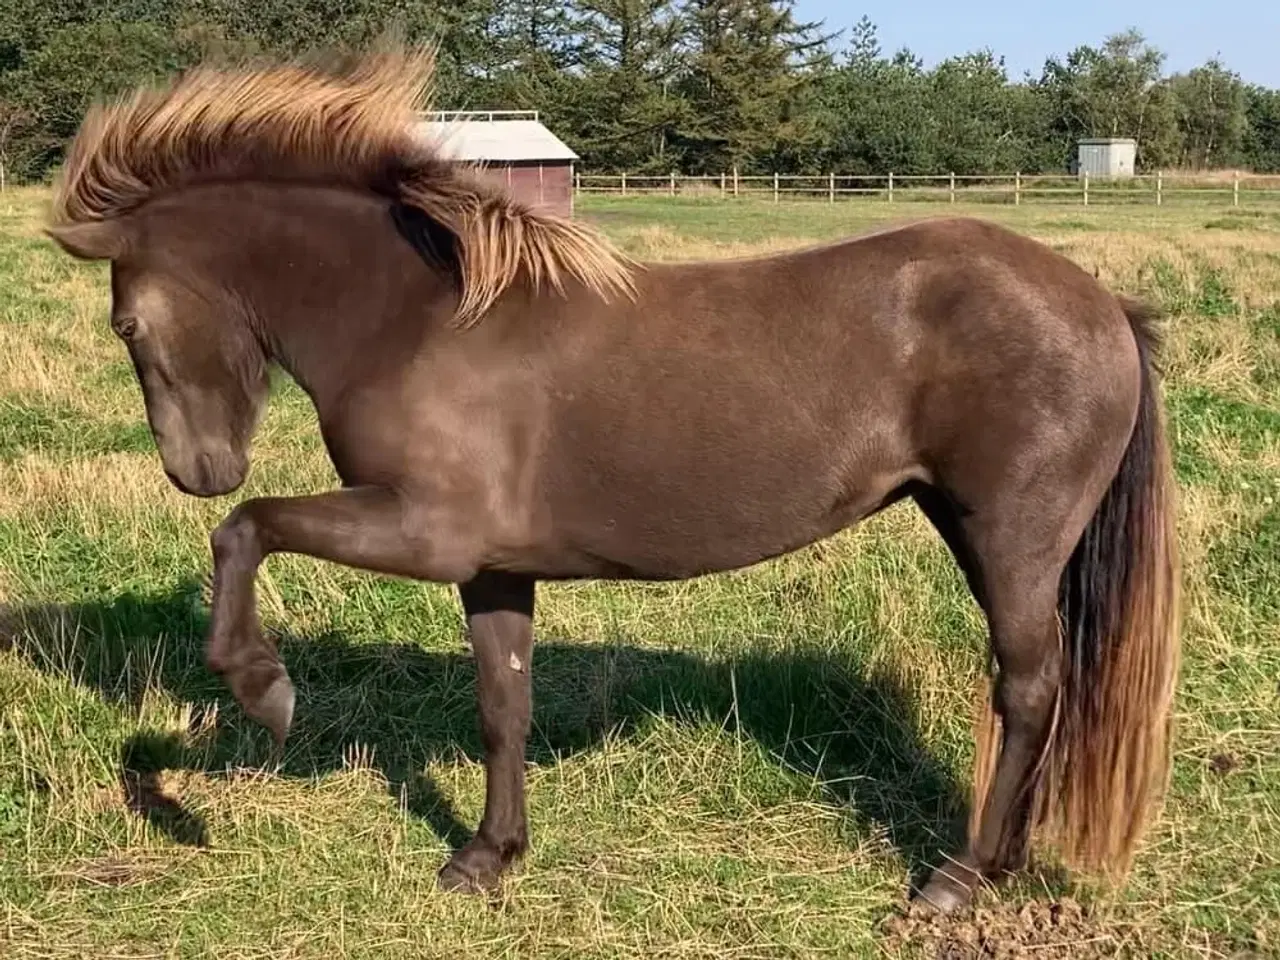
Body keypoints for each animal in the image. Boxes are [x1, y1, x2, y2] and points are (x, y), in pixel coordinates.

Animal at [42, 47, 1177, 916]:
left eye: (125, 324)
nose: (198, 467)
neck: (415, 318)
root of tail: (1103, 305)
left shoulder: (426, 531)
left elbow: (247, 529)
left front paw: (260, 689)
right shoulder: (491, 566)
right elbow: (503, 705)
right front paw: (487, 857)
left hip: (1009, 536)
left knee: (1028, 688)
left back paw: (960, 877)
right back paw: (1004, 861)